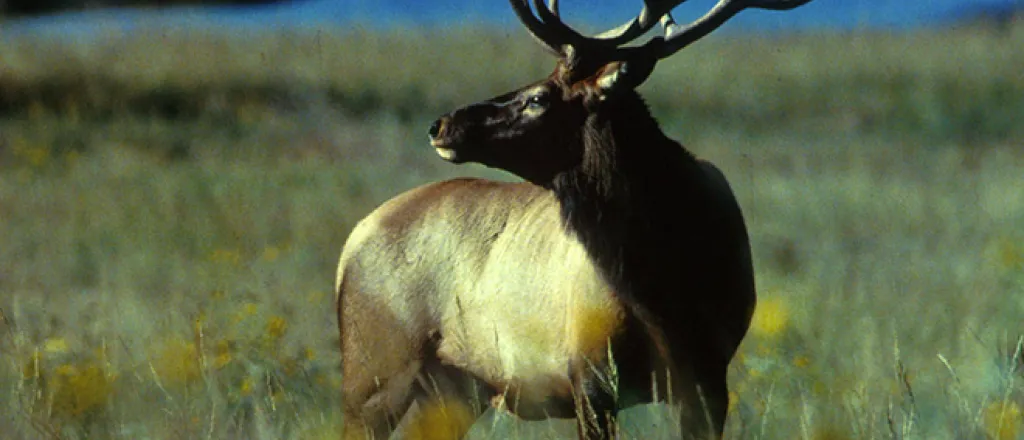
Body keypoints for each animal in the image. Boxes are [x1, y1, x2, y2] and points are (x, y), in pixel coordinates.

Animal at [339, 0, 811, 435]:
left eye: (538, 98)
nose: (442, 125)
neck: (666, 294)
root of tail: (353, 240)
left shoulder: (708, 377)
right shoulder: (590, 372)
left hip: (453, 390)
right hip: (371, 376)